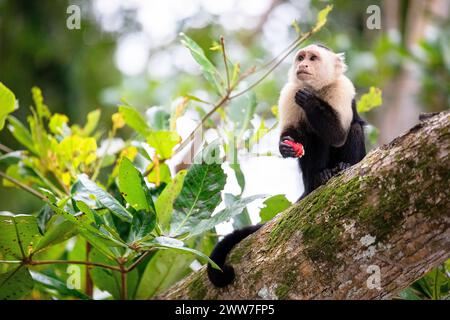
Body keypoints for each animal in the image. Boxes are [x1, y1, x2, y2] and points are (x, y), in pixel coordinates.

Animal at [209, 43, 368, 288]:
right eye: (301, 58)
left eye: (313, 58)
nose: (303, 65)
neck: (318, 89)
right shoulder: (288, 92)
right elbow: (294, 134)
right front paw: (286, 146)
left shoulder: (342, 88)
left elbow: (338, 135)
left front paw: (309, 101)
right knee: (312, 138)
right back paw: (320, 176)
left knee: (352, 129)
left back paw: (342, 166)